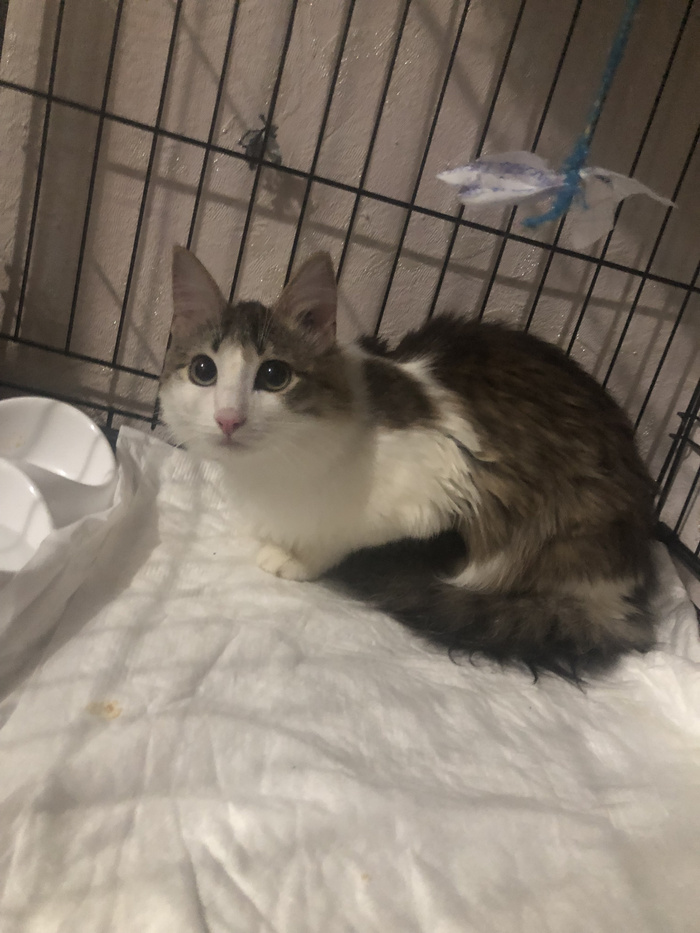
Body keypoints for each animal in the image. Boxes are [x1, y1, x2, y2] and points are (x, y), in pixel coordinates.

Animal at [159, 247, 657, 680]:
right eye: (203, 371)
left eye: (273, 375)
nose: (228, 419)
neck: (275, 466)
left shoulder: (442, 481)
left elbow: (340, 536)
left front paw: (297, 559)